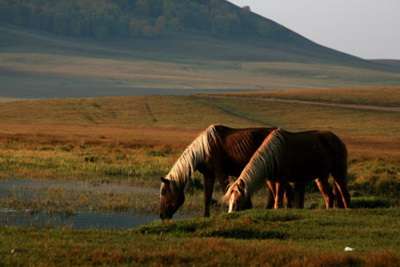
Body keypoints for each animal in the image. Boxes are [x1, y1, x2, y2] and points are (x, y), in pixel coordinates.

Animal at [160, 124, 290, 221]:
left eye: (164, 192)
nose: (162, 216)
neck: (204, 150)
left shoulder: (220, 173)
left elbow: (225, 190)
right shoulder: (208, 175)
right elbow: (207, 197)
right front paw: (206, 216)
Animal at [223, 129, 352, 213]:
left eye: (238, 199)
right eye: (229, 199)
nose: (231, 213)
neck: (272, 156)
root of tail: (337, 140)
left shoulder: (281, 179)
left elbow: (279, 196)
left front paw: (277, 208)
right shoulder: (272, 180)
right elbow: (279, 195)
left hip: (338, 172)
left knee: (344, 193)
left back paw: (347, 209)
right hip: (320, 177)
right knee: (329, 195)